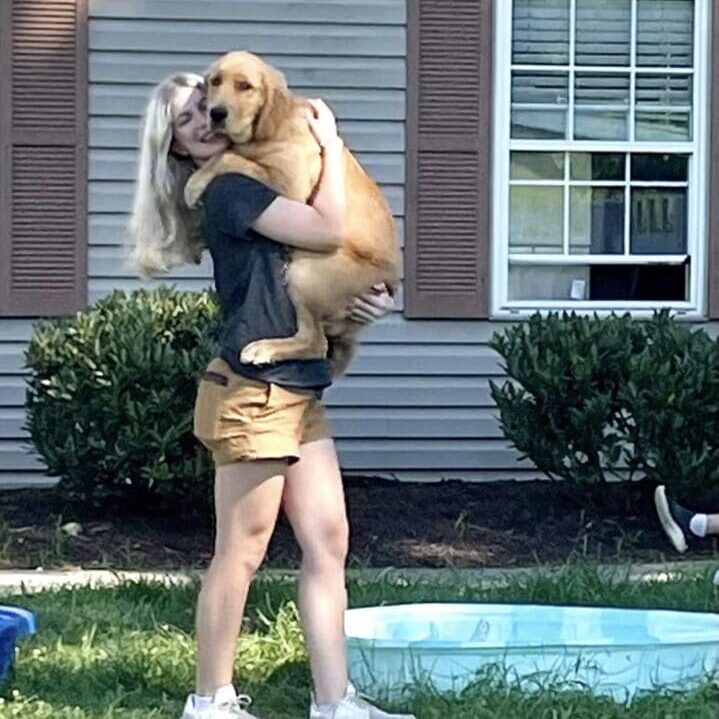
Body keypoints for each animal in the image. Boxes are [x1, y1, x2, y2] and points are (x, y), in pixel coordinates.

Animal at [184, 50, 400, 376]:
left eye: (245, 86)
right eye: (215, 82)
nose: (216, 113)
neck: (267, 131)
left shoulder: (293, 188)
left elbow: (231, 157)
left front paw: (194, 184)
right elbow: (234, 155)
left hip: (307, 272)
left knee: (315, 343)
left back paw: (264, 348)